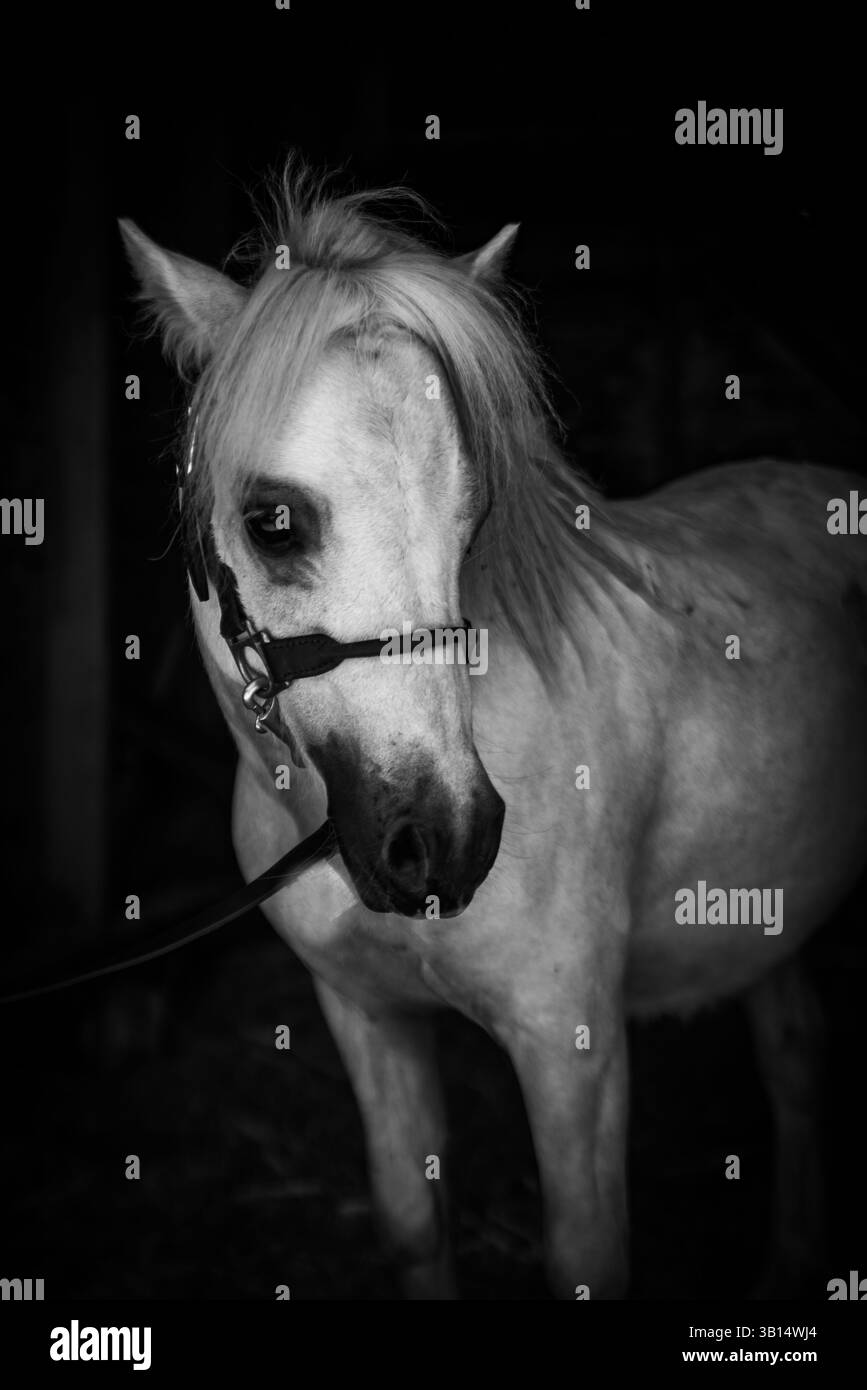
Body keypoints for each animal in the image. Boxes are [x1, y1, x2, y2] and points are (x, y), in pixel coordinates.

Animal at [120, 163, 867, 1299]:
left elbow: (586, 1256)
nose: (447, 839)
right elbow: (413, 1222)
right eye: (272, 522)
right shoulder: (365, 1016)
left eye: (470, 517)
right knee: (793, 1050)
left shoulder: (571, 1052)